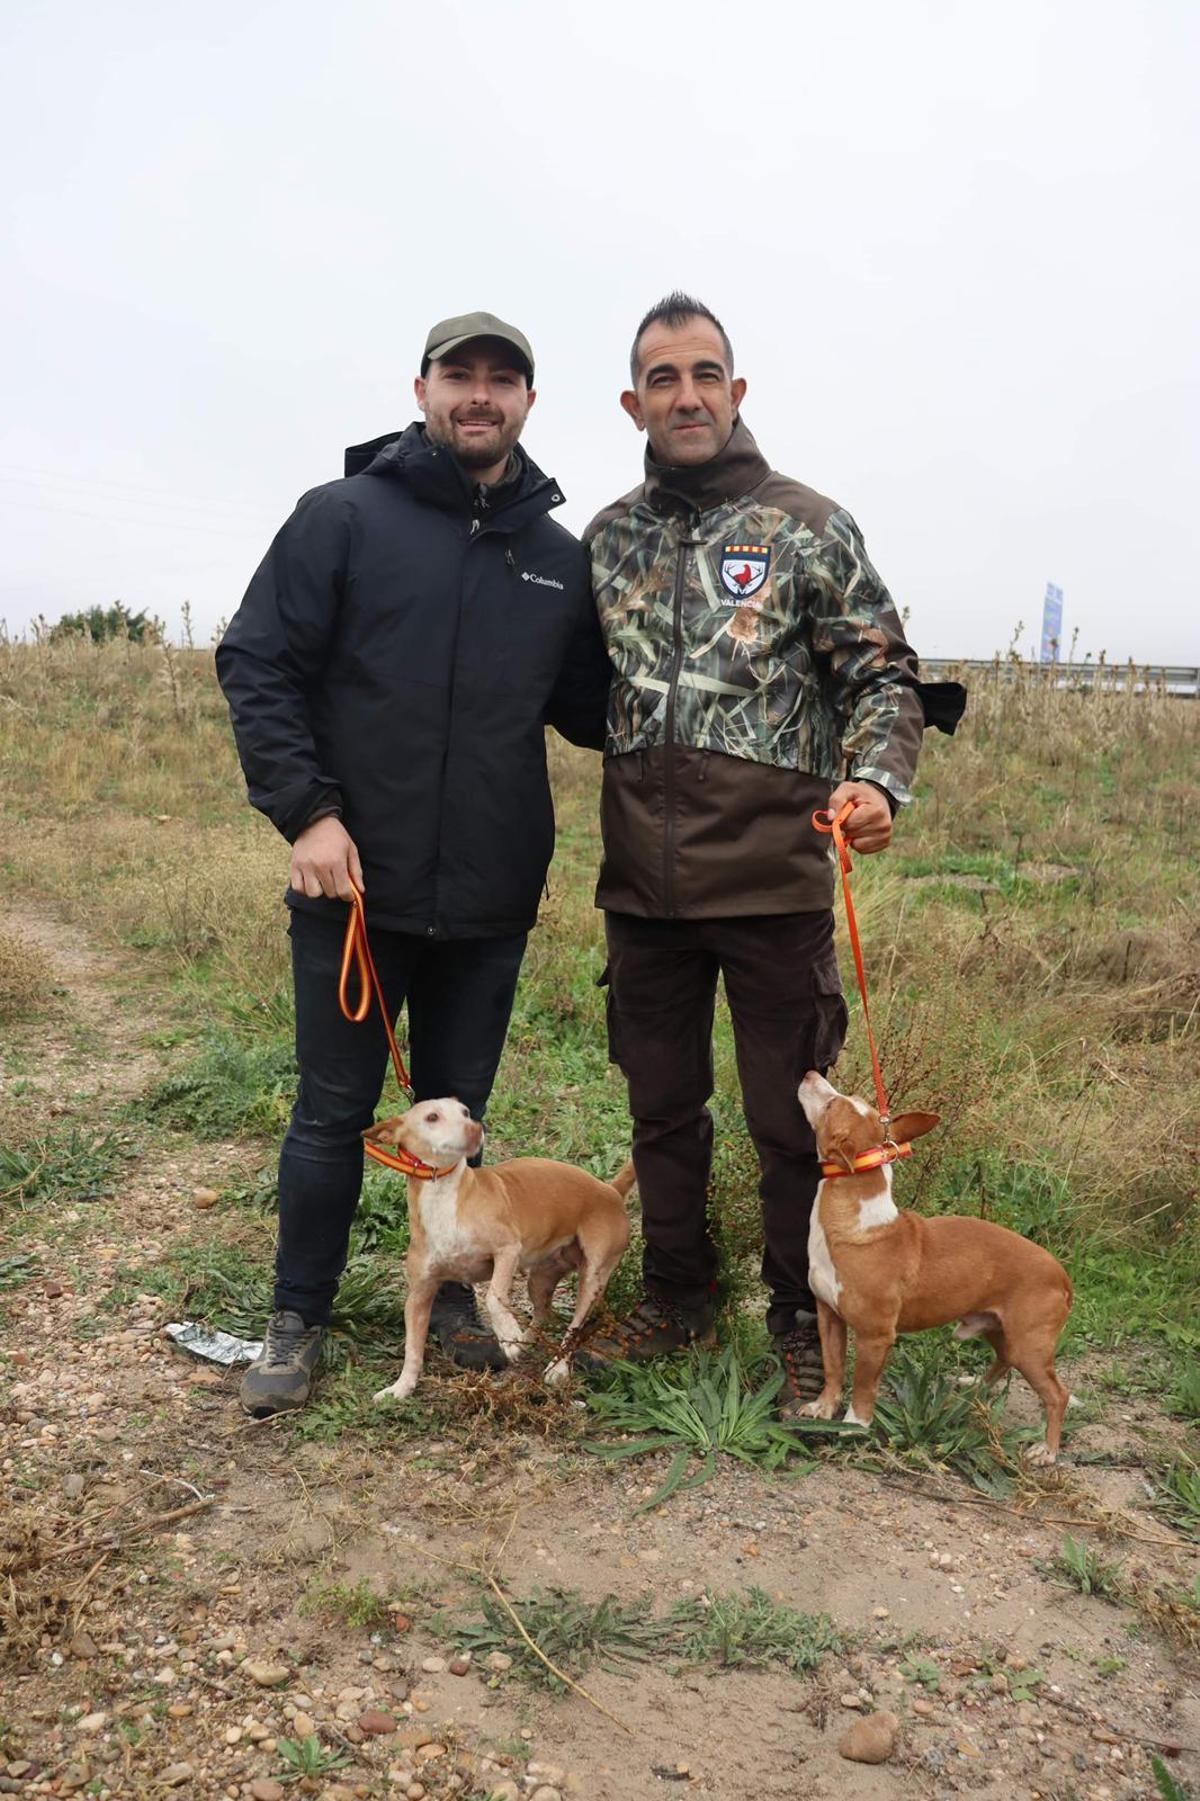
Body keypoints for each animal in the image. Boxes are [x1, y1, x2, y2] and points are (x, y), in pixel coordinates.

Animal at [363, 1095, 630, 1404]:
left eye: (466, 1112)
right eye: (432, 1117)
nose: (475, 1127)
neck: (444, 1192)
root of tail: (610, 1190)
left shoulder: (507, 1250)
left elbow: (494, 1297)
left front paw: (506, 1333)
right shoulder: (419, 1294)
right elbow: (413, 1349)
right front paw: (402, 1387)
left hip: (593, 1278)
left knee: (575, 1327)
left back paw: (556, 1366)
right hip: (540, 1280)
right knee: (543, 1314)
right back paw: (523, 1340)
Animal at [800, 1066, 1066, 1462]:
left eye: (832, 1103)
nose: (809, 1072)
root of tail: (1063, 1275)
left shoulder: (875, 1337)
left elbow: (862, 1387)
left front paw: (854, 1425)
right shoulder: (828, 1316)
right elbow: (833, 1368)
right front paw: (823, 1406)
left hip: (1030, 1347)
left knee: (1057, 1395)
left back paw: (1046, 1451)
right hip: (998, 1328)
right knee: (1003, 1359)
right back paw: (975, 1387)